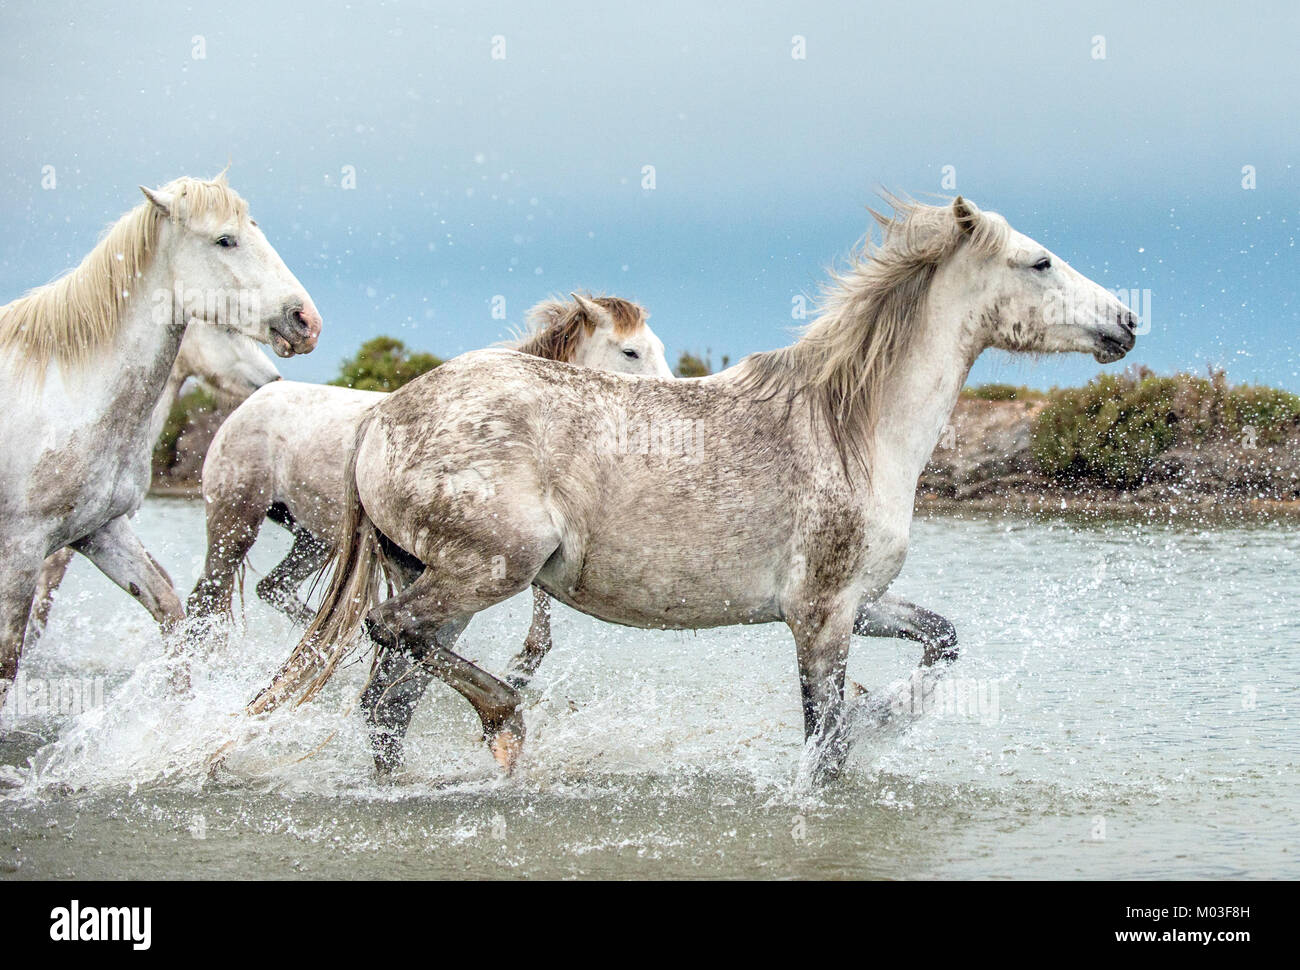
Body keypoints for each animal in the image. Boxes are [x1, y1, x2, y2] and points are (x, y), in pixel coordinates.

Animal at [187, 293, 671, 638]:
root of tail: (254, 400)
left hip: (311, 538)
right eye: (631, 352)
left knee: (275, 588)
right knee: (204, 601)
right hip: (235, 522)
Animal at [249, 196, 1137, 784]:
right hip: (489, 569)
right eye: (1039, 261)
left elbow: (942, 639)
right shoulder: (819, 616)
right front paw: (864, 734)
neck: (851, 429)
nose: (1127, 322)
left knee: (387, 702)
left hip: (441, 579)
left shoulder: (860, 602)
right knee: (391, 638)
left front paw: (887, 714)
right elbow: (825, 750)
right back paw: (506, 724)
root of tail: (383, 415)